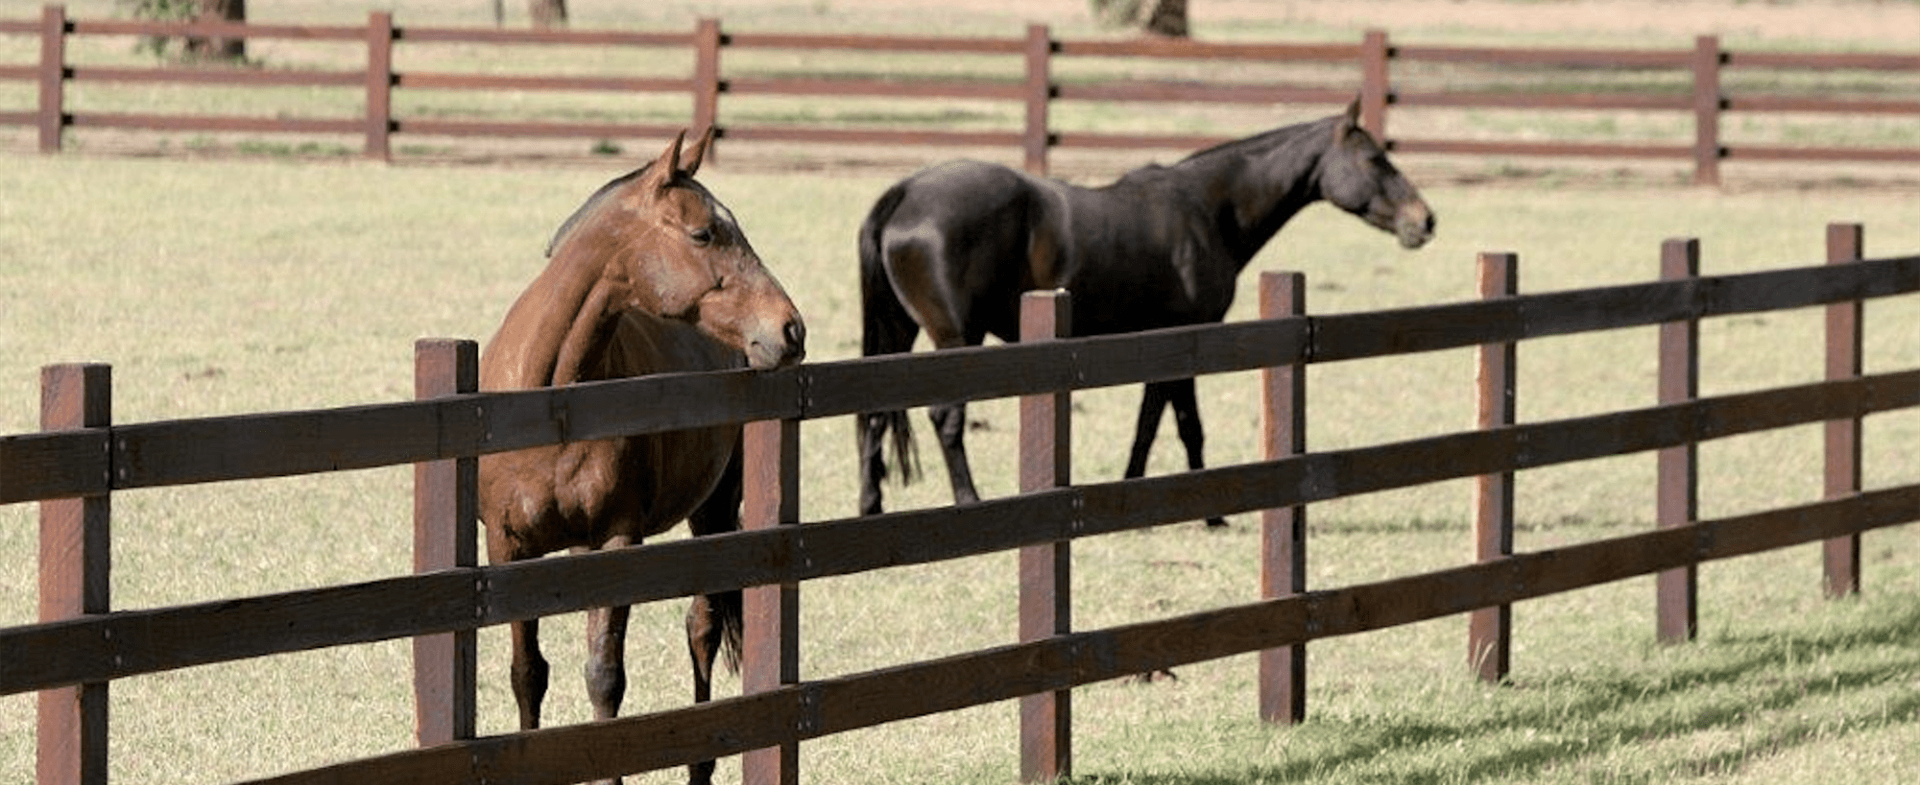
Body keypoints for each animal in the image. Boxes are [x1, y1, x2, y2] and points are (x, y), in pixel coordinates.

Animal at [477, 129, 806, 785]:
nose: (790, 329)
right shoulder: (508, 549)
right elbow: (528, 673)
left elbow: (605, 678)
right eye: (704, 234)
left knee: (702, 628)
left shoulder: (618, 541)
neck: (549, 398)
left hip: (713, 512)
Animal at [857, 100, 1434, 527]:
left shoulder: (1160, 344)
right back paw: (969, 501)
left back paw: (871, 505)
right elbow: (1184, 424)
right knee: (946, 420)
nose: (1425, 220)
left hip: (898, 333)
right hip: (957, 339)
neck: (1209, 211)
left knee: (875, 417)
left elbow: (1150, 422)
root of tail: (905, 192)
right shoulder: (1185, 336)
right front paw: (1210, 514)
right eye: (1375, 160)